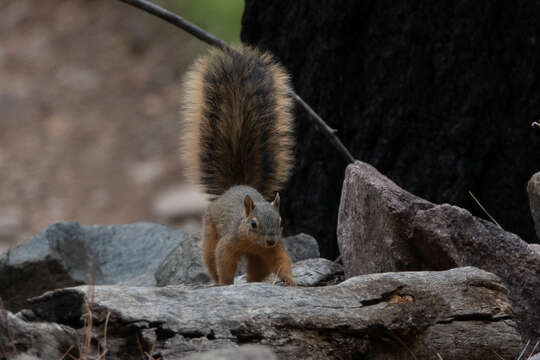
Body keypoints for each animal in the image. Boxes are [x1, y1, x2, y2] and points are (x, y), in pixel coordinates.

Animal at [182, 46, 300, 286]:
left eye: (280, 221)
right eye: (253, 224)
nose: (271, 240)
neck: (252, 243)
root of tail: (235, 185)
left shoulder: (274, 250)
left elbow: (283, 261)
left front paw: (290, 281)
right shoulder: (228, 243)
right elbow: (223, 260)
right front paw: (226, 283)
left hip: (259, 260)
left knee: (257, 271)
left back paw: (251, 282)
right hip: (210, 232)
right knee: (210, 258)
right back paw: (217, 281)